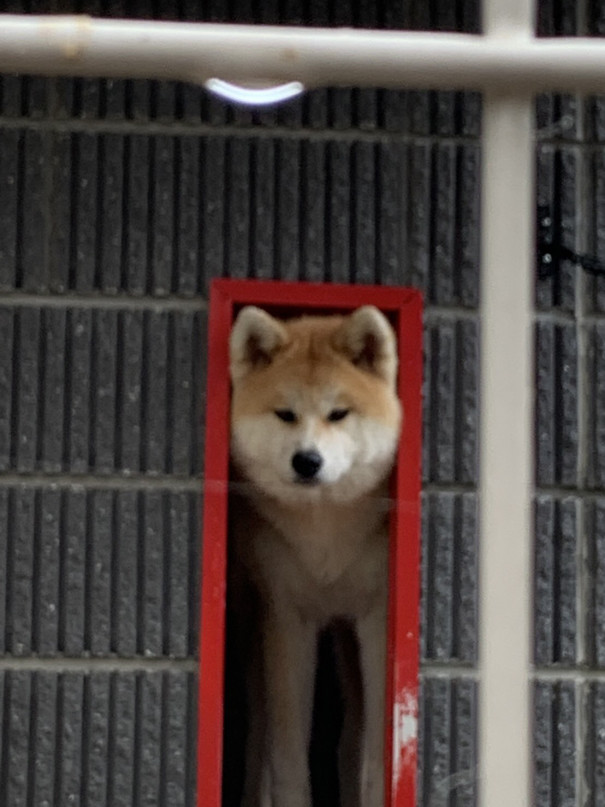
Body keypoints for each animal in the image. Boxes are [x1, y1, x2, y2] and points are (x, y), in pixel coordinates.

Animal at [226, 306, 402, 807]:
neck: (324, 534)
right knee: (259, 735)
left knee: (351, 737)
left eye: (338, 413)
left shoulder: (377, 618)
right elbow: (286, 756)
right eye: (285, 414)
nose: (307, 461)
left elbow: (375, 749)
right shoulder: (286, 619)